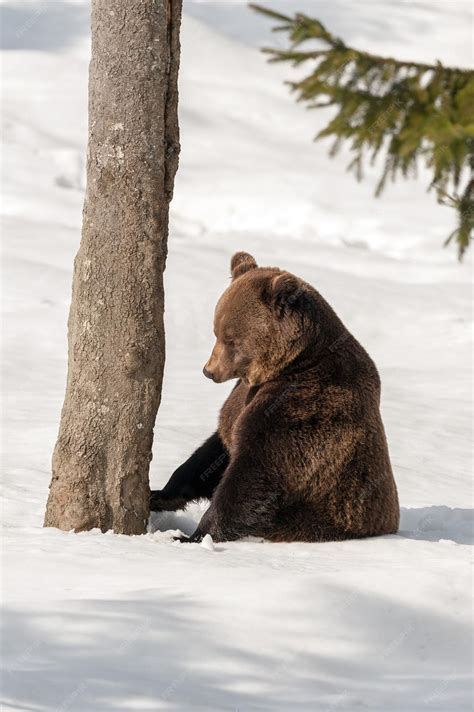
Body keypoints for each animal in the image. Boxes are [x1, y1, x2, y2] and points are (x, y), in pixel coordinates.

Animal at [150, 253, 398, 544]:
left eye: (231, 339)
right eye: (216, 331)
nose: (209, 371)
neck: (291, 363)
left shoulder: (298, 407)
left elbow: (255, 474)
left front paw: (191, 536)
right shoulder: (242, 401)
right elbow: (213, 451)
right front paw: (158, 494)